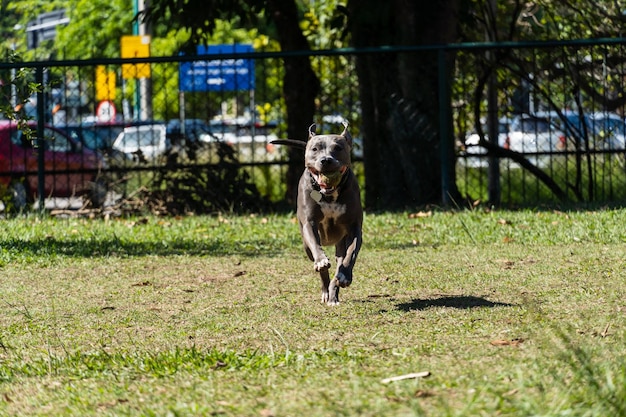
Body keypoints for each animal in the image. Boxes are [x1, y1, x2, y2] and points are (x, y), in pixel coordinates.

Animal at [270, 122, 364, 304]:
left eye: (338, 148)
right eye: (315, 149)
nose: (326, 160)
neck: (329, 195)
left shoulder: (354, 227)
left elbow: (351, 253)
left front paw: (345, 275)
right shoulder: (310, 223)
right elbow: (316, 246)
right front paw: (321, 261)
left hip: (340, 243)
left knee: (339, 263)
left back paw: (334, 292)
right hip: (305, 246)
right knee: (321, 266)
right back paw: (326, 290)